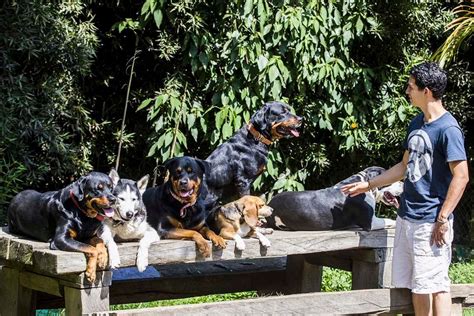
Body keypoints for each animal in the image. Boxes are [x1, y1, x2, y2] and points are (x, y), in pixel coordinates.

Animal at [266, 167, 404, 231]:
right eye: (393, 179)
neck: (364, 181)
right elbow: (390, 220)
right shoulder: (371, 223)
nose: (403, 183)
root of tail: (270, 202)